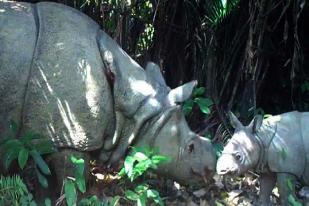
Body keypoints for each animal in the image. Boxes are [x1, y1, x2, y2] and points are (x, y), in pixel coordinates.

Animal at [0, 0, 215, 187]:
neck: (138, 110)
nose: (211, 171)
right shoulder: (69, 138)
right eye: (190, 147)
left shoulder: (38, 137)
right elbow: (72, 183)